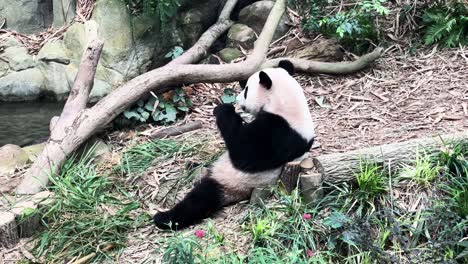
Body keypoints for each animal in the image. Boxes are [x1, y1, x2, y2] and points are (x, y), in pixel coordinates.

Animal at [154, 60, 314, 230]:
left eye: (246, 91)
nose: (237, 99)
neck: (287, 103)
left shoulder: (278, 133)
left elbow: (243, 152)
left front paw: (223, 109)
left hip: (232, 182)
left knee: (200, 199)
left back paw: (164, 218)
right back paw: (193, 167)